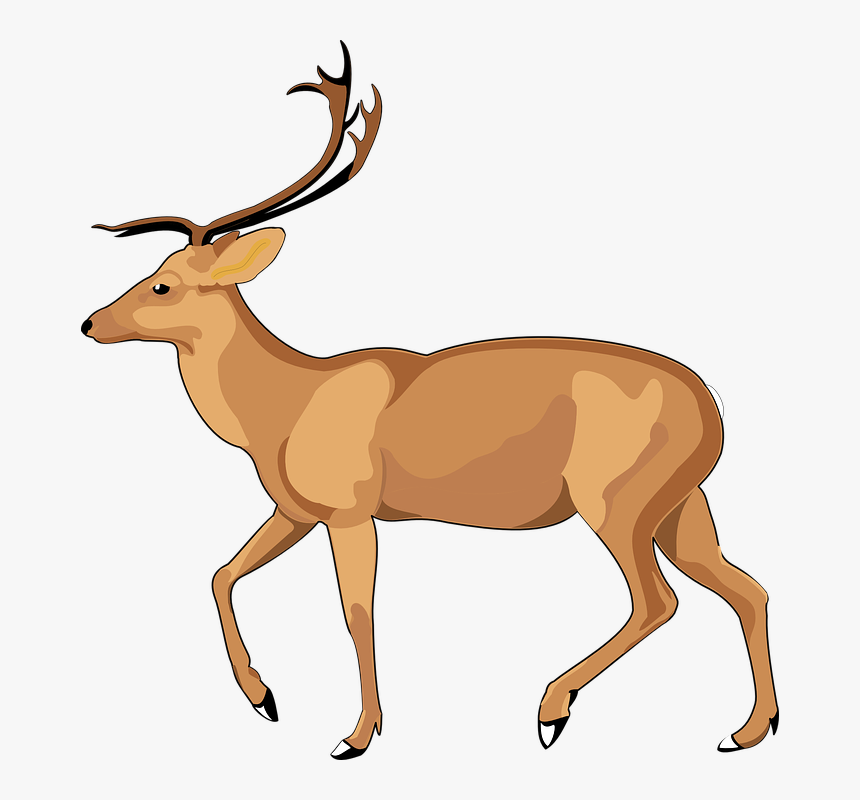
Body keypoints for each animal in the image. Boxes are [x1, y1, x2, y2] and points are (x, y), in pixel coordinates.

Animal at [82, 42, 778, 759]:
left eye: (162, 285)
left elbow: (356, 611)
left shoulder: (350, 510)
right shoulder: (296, 510)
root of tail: (713, 410)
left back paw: (551, 710)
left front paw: (356, 736)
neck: (284, 407)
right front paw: (265, 700)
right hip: (681, 505)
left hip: (616, 500)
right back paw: (746, 730)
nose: (90, 323)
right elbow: (222, 572)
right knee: (747, 588)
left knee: (658, 600)